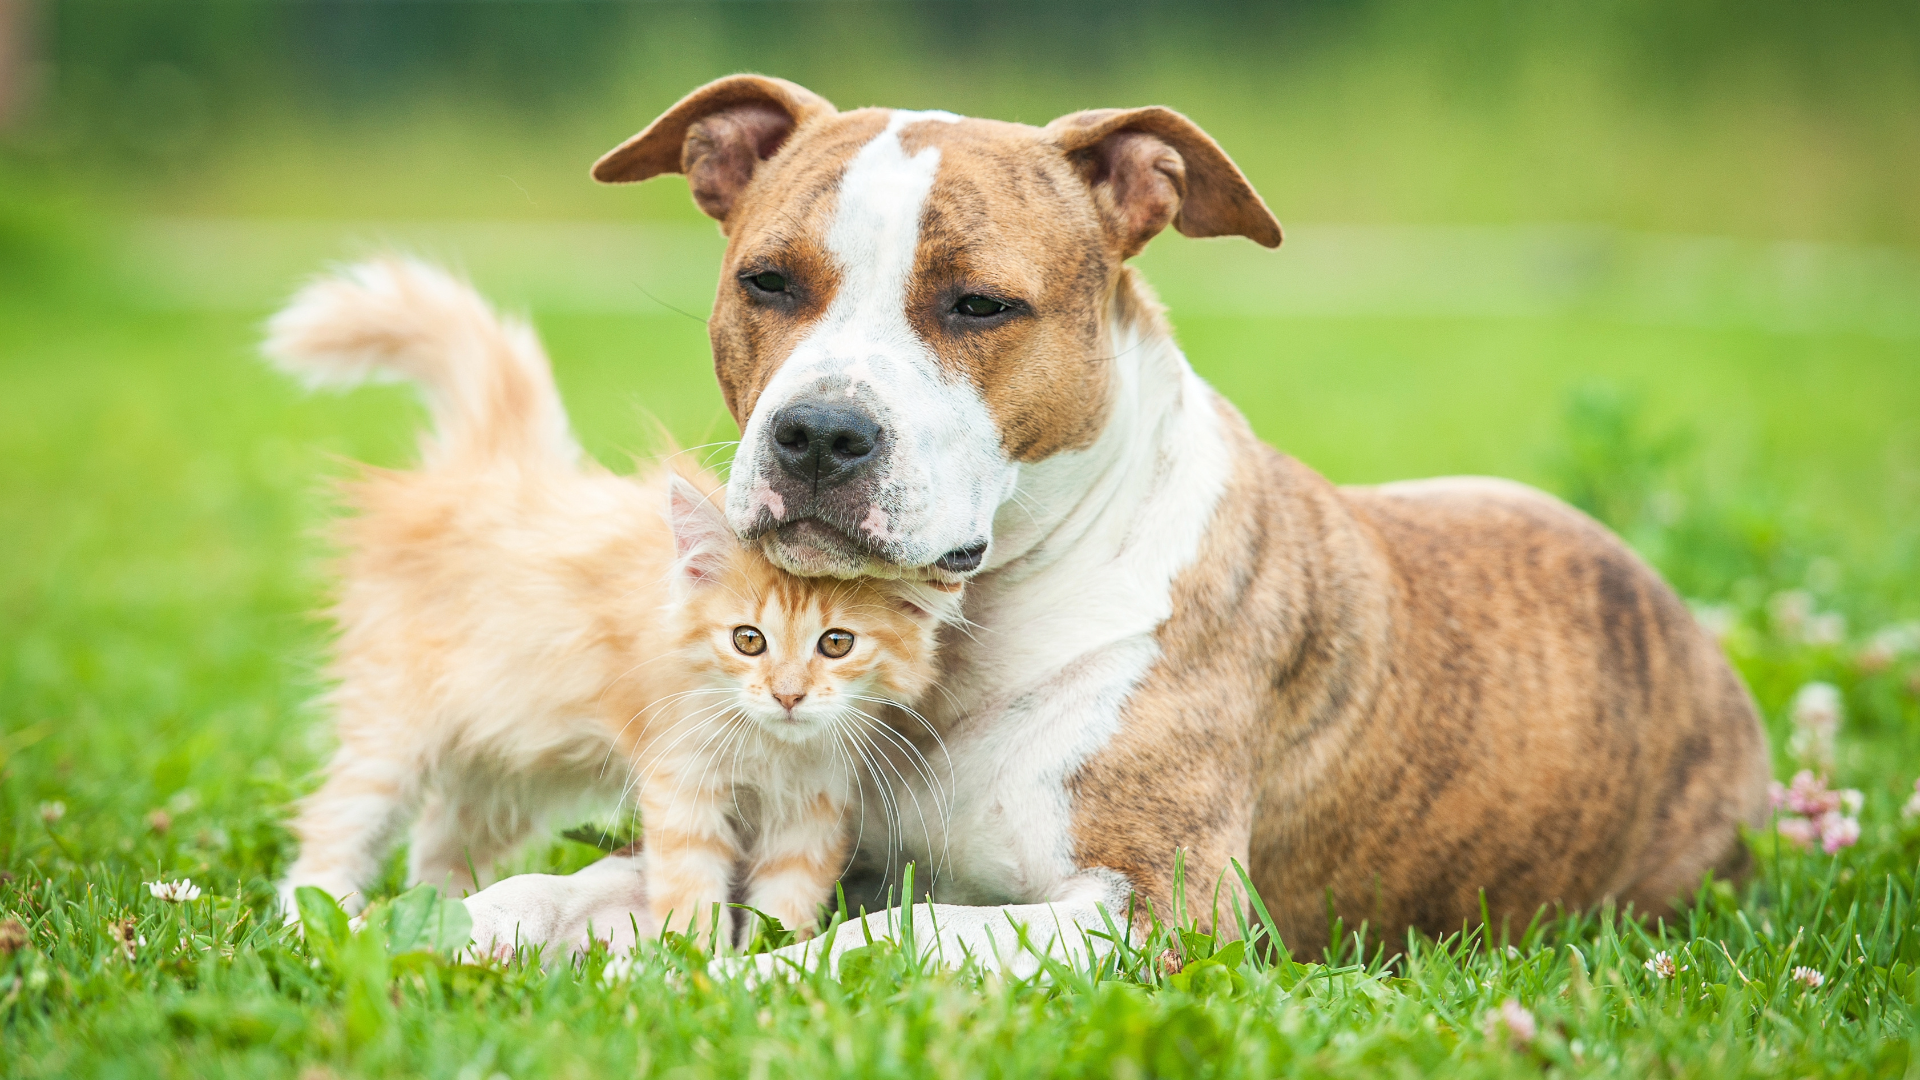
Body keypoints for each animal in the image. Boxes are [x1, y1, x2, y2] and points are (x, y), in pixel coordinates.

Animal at [266, 255, 956, 937]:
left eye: (835, 644)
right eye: (747, 640)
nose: (788, 695)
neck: (770, 748)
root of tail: (490, 468)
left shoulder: (812, 810)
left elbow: (783, 908)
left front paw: (767, 957)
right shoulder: (681, 784)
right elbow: (693, 896)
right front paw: (697, 959)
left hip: (501, 759)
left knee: (440, 842)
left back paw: (443, 913)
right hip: (395, 729)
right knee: (336, 826)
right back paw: (311, 920)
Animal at [449, 75, 1766, 960]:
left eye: (981, 305)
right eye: (766, 282)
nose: (818, 434)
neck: (959, 634)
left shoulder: (1162, 912)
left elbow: (894, 937)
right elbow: (541, 895)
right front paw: (440, 935)